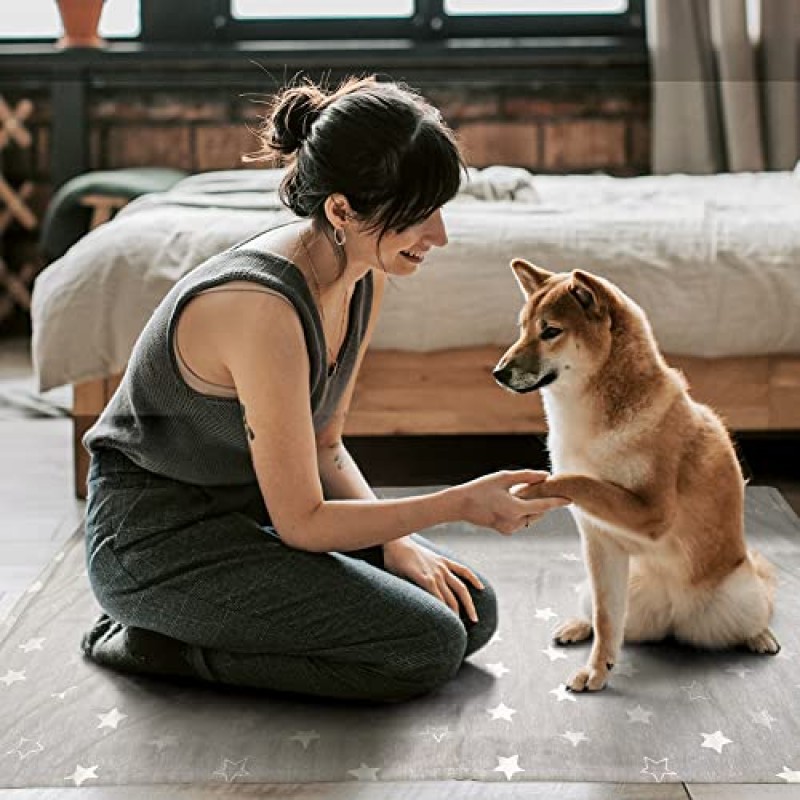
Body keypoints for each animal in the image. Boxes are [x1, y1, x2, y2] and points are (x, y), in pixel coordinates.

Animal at [490, 260, 780, 692]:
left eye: (551, 331)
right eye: (522, 328)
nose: (498, 373)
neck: (589, 424)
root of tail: (674, 617)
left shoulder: (653, 511)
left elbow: (579, 481)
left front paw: (530, 490)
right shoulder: (599, 542)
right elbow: (607, 620)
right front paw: (597, 670)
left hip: (741, 594)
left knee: (760, 609)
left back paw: (761, 636)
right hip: (603, 587)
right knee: (603, 617)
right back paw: (578, 626)